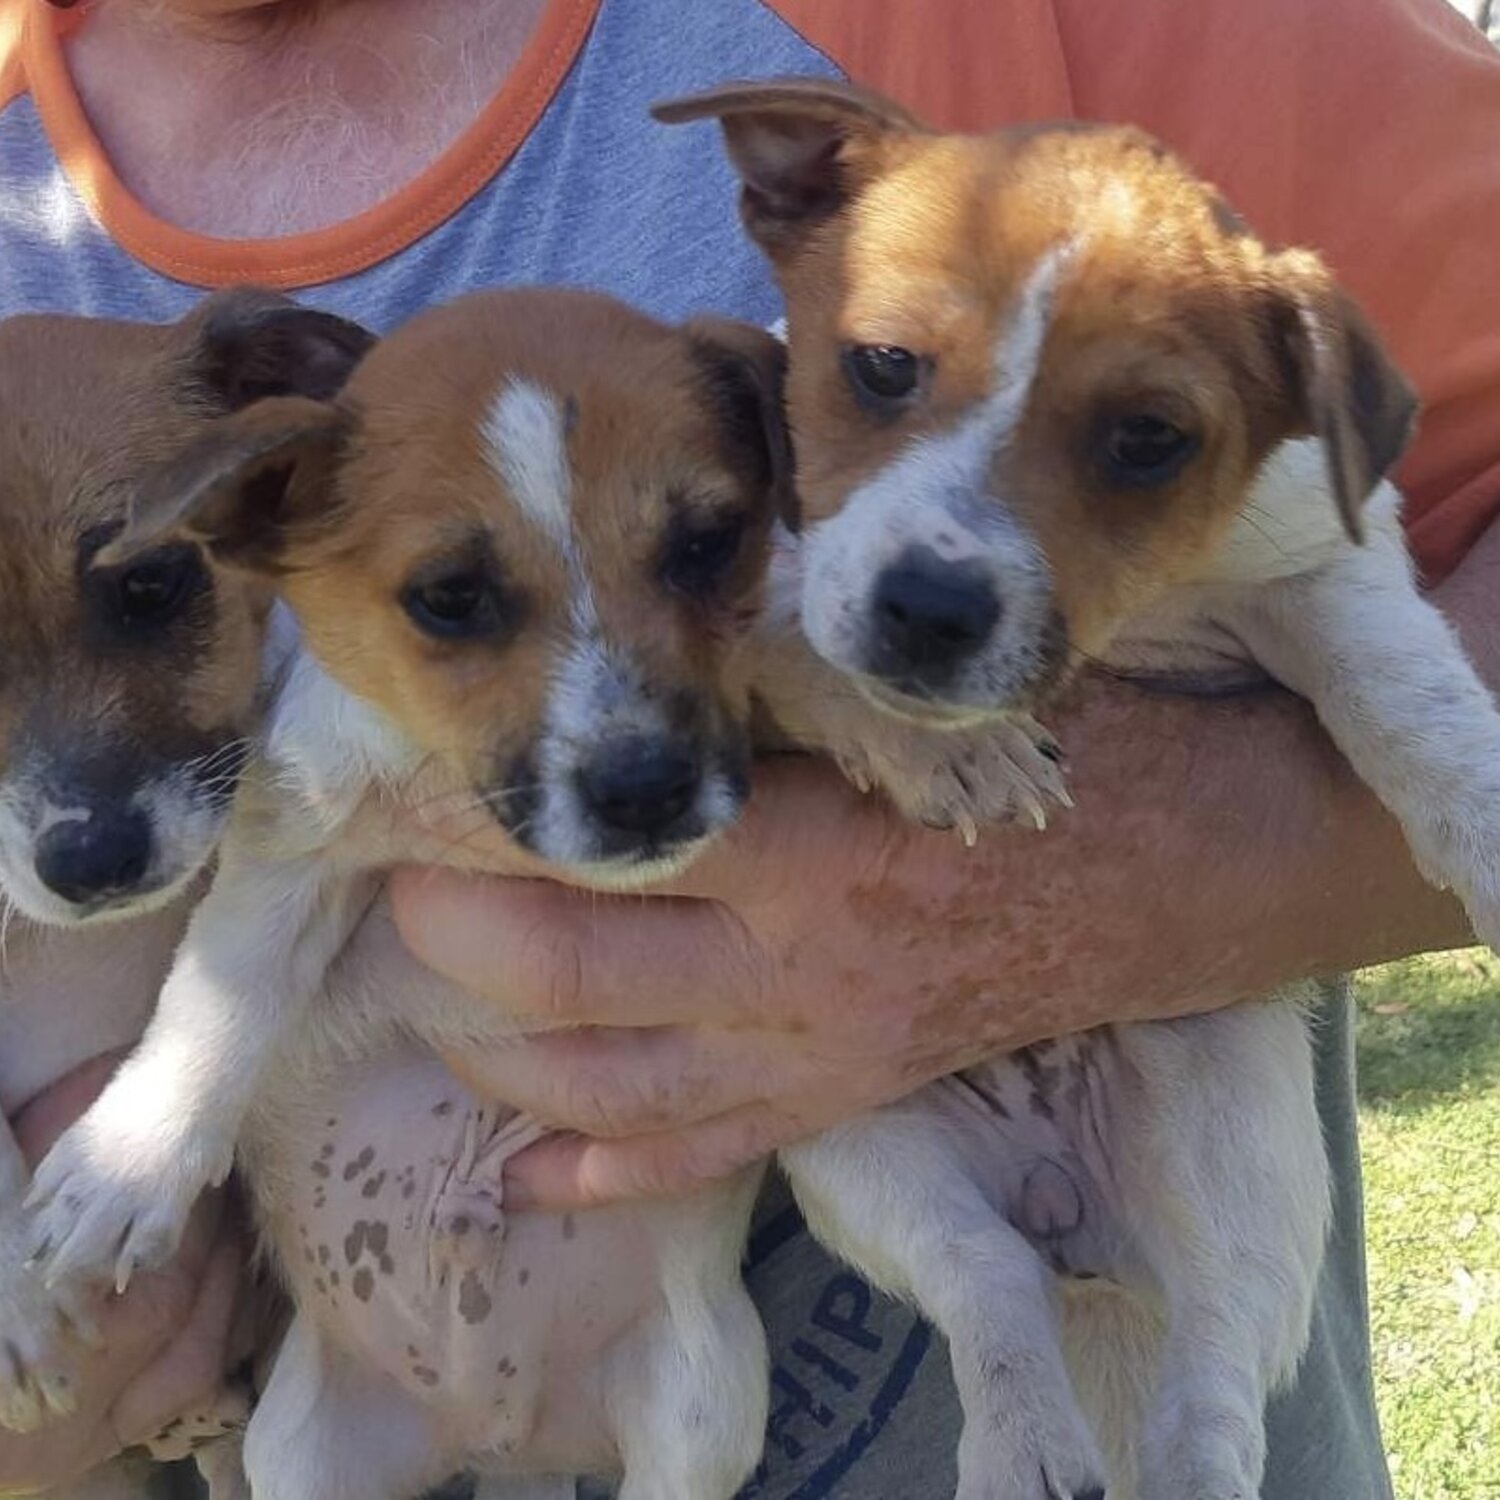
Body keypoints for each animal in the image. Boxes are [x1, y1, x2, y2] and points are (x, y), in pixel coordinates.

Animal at [660, 79, 1500, 1500]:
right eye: (881, 367)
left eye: (1149, 439)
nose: (929, 612)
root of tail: (1072, 1216)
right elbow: (797, 634)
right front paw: (951, 749)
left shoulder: (1322, 576)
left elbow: (1408, 702)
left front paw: (1487, 829)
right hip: (856, 1148)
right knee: (991, 1284)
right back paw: (1025, 1443)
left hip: (1241, 1155)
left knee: (1214, 1383)